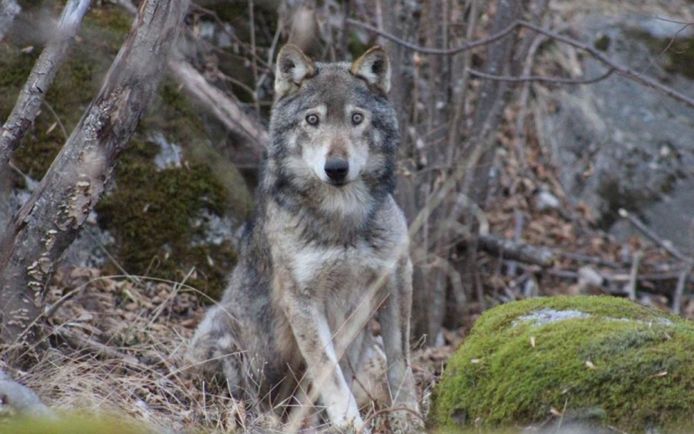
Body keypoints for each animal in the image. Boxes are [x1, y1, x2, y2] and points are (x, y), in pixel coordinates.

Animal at [188, 45, 422, 434]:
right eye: (312, 120)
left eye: (356, 118)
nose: (336, 168)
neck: (343, 219)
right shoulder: (302, 299)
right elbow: (328, 371)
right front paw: (351, 424)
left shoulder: (397, 276)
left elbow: (400, 362)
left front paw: (409, 419)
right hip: (224, 335)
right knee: (250, 395)